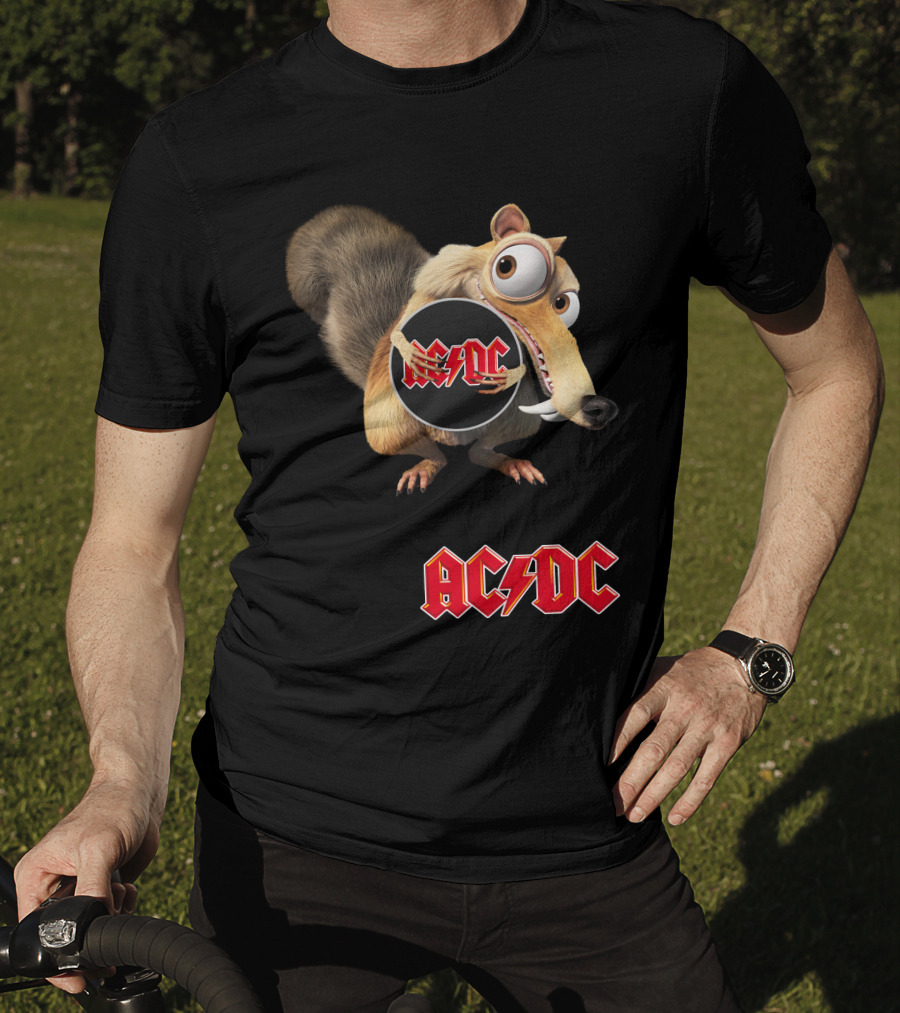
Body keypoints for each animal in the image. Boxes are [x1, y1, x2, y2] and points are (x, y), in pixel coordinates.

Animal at [286, 203, 617, 494]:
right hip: (389, 425)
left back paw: (506, 461)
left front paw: (512, 373)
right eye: (507, 266)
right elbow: (400, 329)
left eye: (562, 303)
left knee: (481, 451)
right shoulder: (431, 291)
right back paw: (428, 463)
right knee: (424, 450)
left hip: (518, 418)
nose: (598, 407)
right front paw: (410, 353)